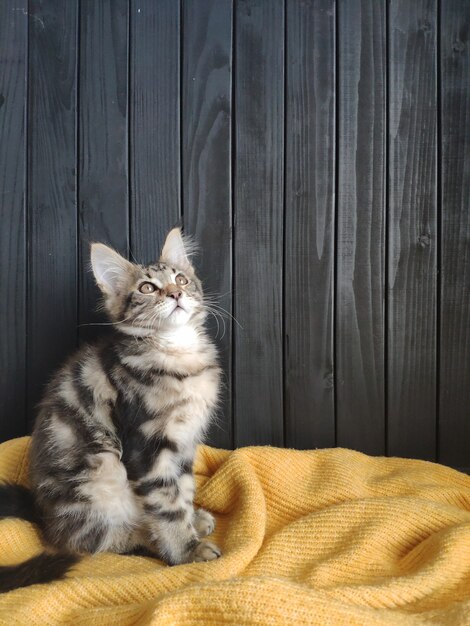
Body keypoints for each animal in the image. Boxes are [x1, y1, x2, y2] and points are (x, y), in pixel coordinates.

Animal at [0, 227, 222, 588]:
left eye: (181, 279)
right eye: (147, 288)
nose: (175, 293)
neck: (176, 353)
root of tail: (43, 515)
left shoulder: (184, 443)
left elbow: (184, 490)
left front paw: (191, 521)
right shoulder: (147, 446)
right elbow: (166, 503)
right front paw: (186, 550)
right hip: (102, 470)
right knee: (90, 541)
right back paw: (144, 536)